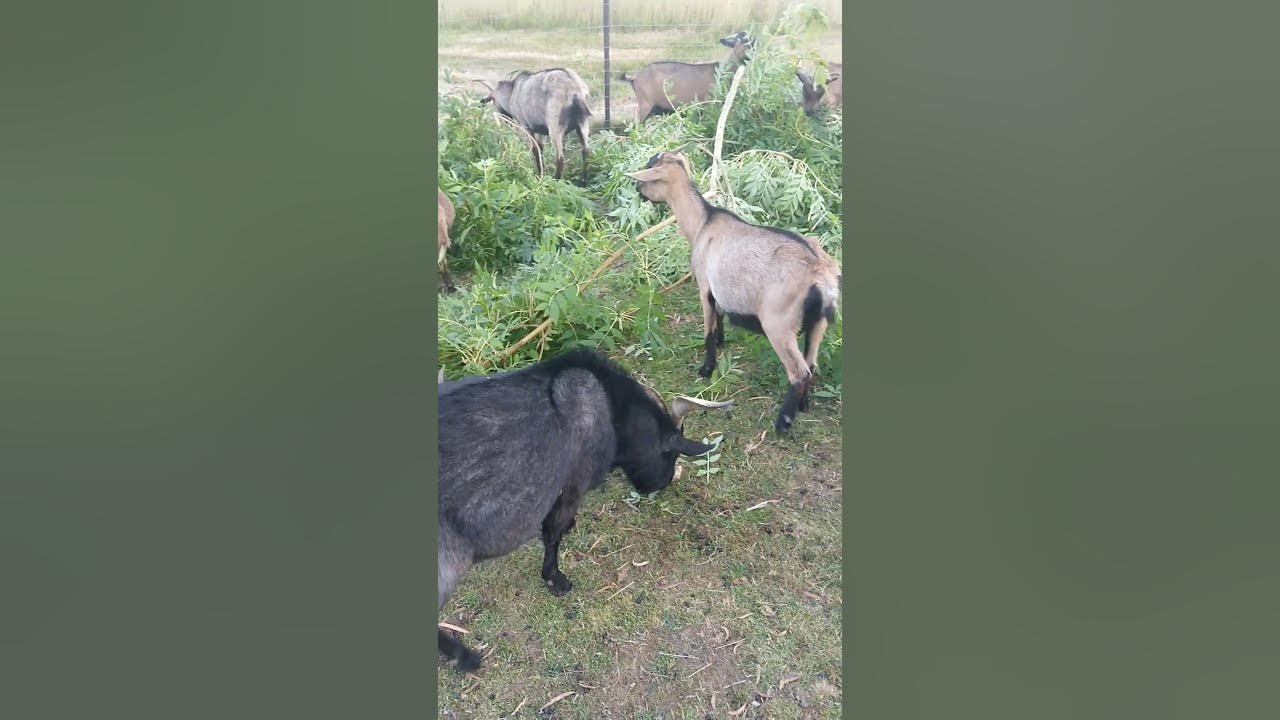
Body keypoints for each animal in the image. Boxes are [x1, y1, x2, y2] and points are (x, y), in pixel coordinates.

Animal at [437, 349, 732, 672]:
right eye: (672, 452)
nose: (664, 481)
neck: (611, 406)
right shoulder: (573, 484)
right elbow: (553, 534)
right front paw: (555, 579)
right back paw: (464, 657)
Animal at [619, 31, 753, 125]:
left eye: (752, 40)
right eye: (739, 41)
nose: (750, 53)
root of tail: (634, 78)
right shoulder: (709, 103)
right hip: (644, 103)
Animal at [626, 152, 840, 434]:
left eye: (649, 171)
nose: (638, 190)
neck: (703, 224)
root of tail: (819, 273)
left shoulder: (704, 285)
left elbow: (708, 327)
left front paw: (706, 369)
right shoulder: (718, 291)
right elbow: (719, 317)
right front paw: (721, 343)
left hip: (779, 323)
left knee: (799, 371)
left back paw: (783, 421)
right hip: (819, 322)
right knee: (811, 363)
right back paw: (803, 405)